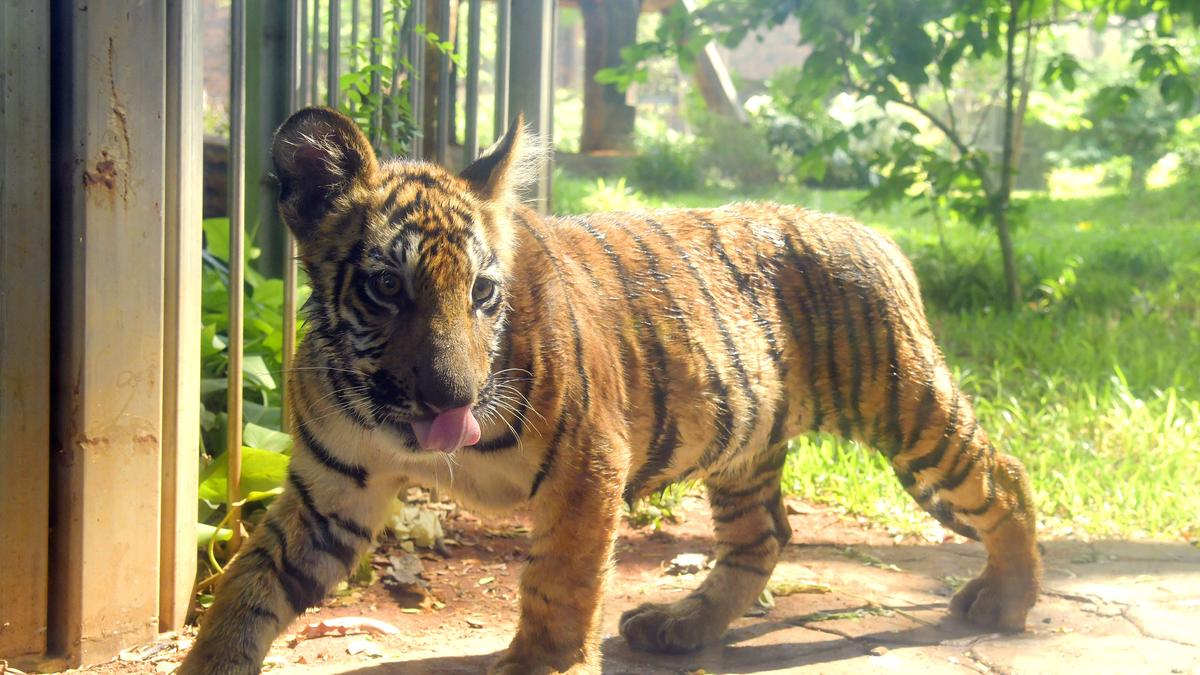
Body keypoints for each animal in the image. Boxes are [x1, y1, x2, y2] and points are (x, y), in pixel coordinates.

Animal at [179, 107, 1041, 675]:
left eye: (484, 293)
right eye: (388, 286)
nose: (453, 399)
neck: (391, 417)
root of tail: (869, 231)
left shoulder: (585, 458)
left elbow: (561, 576)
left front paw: (543, 664)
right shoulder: (333, 492)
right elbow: (250, 586)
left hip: (907, 412)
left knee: (1003, 477)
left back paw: (1008, 600)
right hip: (745, 447)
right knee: (762, 537)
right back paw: (683, 626)